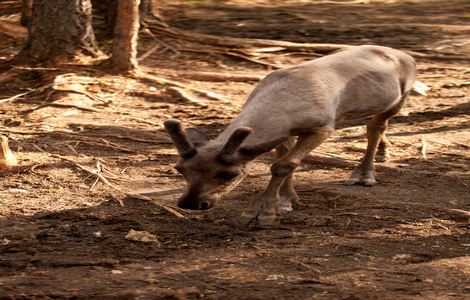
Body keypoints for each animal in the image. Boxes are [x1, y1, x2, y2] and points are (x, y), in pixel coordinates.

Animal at [163, 45, 428, 226]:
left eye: (229, 174)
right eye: (180, 169)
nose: (191, 203)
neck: (282, 102)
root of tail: (406, 55)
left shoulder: (323, 127)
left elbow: (284, 164)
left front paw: (261, 212)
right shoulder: (286, 132)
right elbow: (286, 162)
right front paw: (287, 202)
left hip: (401, 97)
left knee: (375, 126)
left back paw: (364, 174)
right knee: (377, 125)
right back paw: (384, 152)